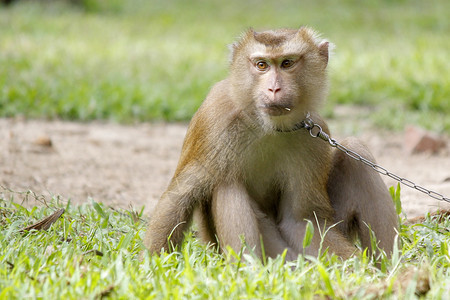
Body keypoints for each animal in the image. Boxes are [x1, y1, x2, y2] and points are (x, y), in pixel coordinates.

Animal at [145, 27, 398, 262]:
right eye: (261, 65)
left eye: (287, 63)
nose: (274, 88)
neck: (266, 125)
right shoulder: (215, 120)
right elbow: (179, 197)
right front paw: (151, 264)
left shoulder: (312, 136)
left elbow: (300, 220)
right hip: (275, 251)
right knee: (227, 182)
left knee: (355, 151)